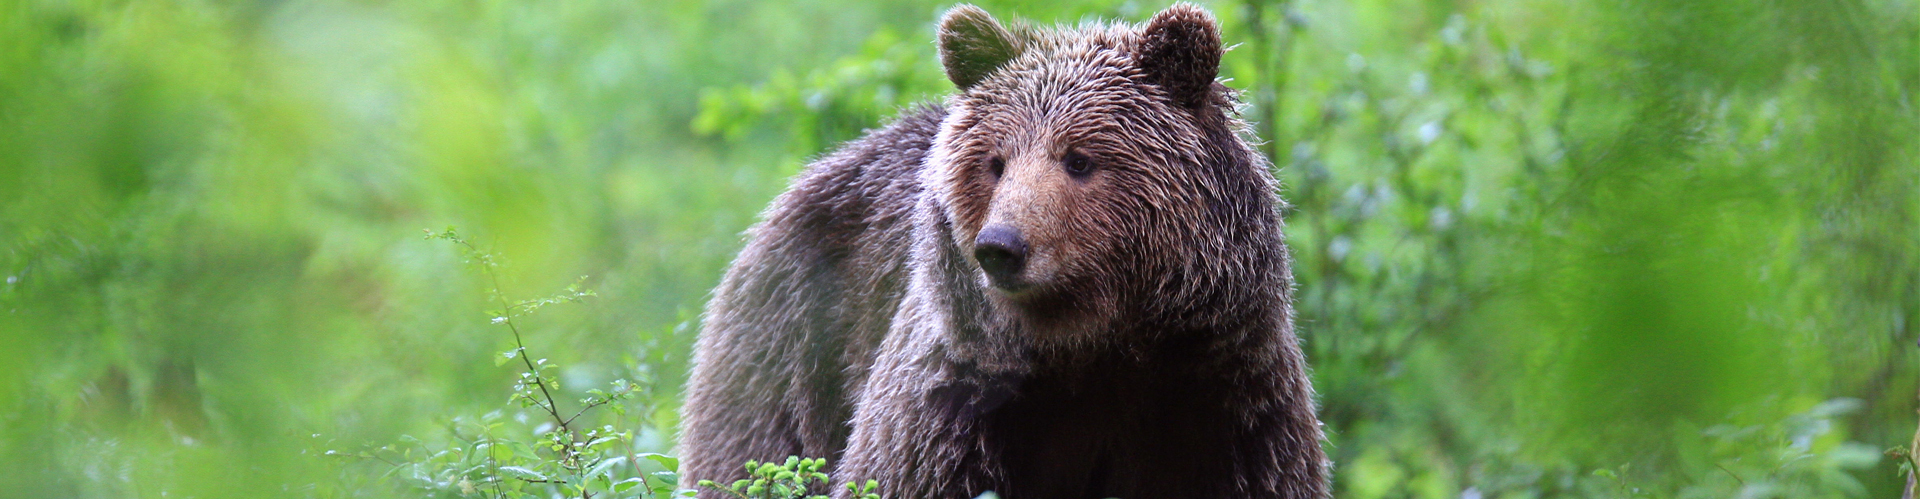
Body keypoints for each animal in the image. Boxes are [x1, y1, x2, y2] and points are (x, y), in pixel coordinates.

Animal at [683, 4, 1328, 499]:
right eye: (996, 162)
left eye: (1079, 159)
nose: (1000, 246)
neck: (1095, 347)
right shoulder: (955, 406)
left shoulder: (1226, 400)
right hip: (790, 355)